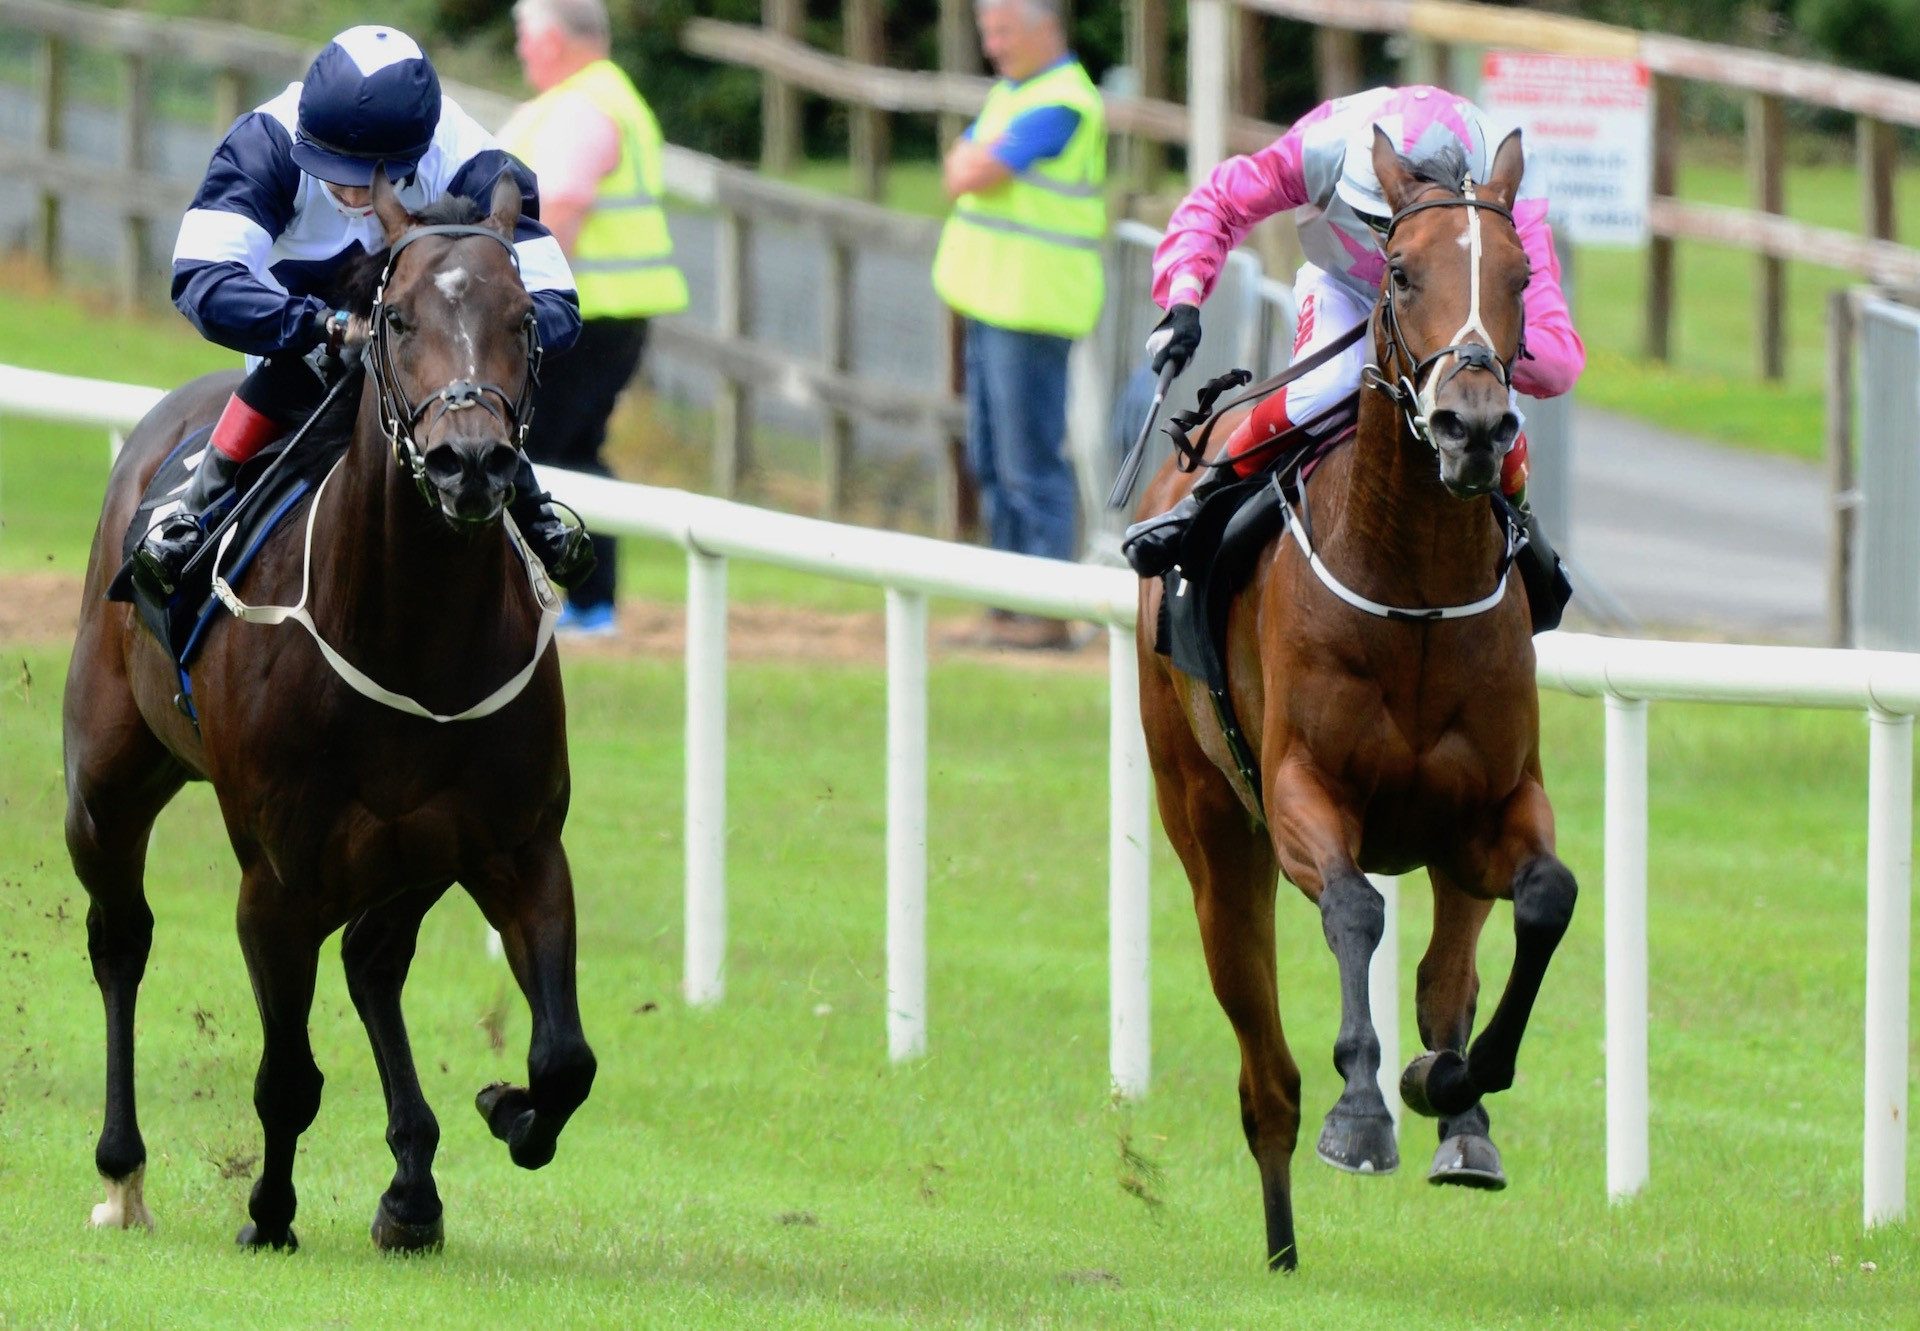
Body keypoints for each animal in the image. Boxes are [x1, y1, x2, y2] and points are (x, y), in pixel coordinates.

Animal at [63, 170, 591, 1252]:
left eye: (526, 320)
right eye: (396, 317)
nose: (471, 463)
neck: (413, 635)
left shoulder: (518, 846)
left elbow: (564, 1056)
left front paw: (504, 1110)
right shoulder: (278, 876)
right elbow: (288, 1076)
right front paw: (268, 1211)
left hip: (416, 853)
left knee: (373, 960)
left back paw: (413, 1185)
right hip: (104, 783)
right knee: (122, 938)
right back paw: (124, 1172)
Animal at [1136, 129, 1574, 1275]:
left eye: (1520, 278)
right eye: (1403, 271)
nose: (1474, 426)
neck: (1411, 587)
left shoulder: (1490, 807)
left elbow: (1544, 902)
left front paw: (1447, 1082)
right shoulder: (1302, 790)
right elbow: (1352, 908)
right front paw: (1364, 1111)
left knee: (1444, 970)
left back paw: (1461, 1124)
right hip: (1208, 827)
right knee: (1263, 1065)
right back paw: (1283, 1235)